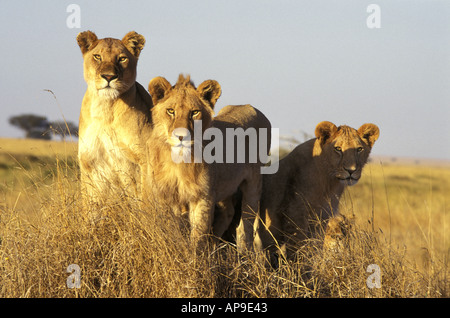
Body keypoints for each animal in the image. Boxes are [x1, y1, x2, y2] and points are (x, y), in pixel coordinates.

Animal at [77, 31, 153, 205]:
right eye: (97, 57)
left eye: (122, 58)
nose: (108, 76)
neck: (104, 109)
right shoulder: (88, 162)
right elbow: (88, 206)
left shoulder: (145, 159)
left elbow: (146, 200)